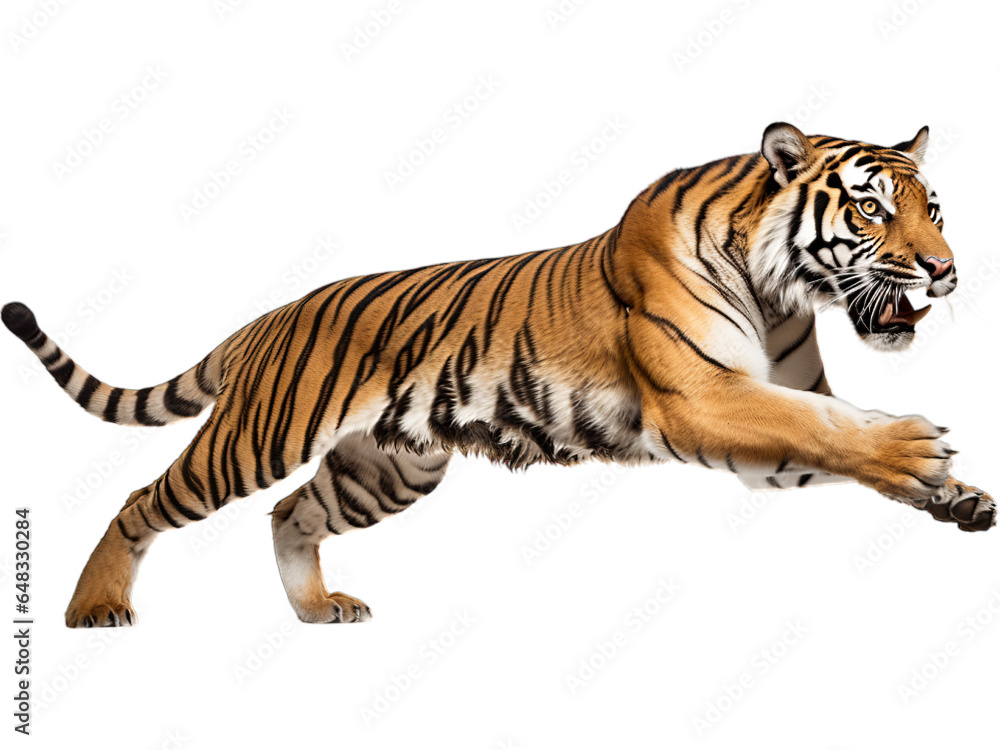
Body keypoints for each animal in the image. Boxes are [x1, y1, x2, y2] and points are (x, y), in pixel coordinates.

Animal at [3, 122, 994, 629]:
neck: (780, 287)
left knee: (291, 513)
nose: (945, 270)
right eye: (873, 210)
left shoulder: (776, 408)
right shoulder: (702, 401)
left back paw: (319, 608)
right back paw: (95, 605)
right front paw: (920, 453)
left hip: (387, 469)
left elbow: (842, 429)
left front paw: (954, 492)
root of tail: (271, 318)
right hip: (258, 436)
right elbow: (828, 428)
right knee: (142, 500)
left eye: (935, 209)